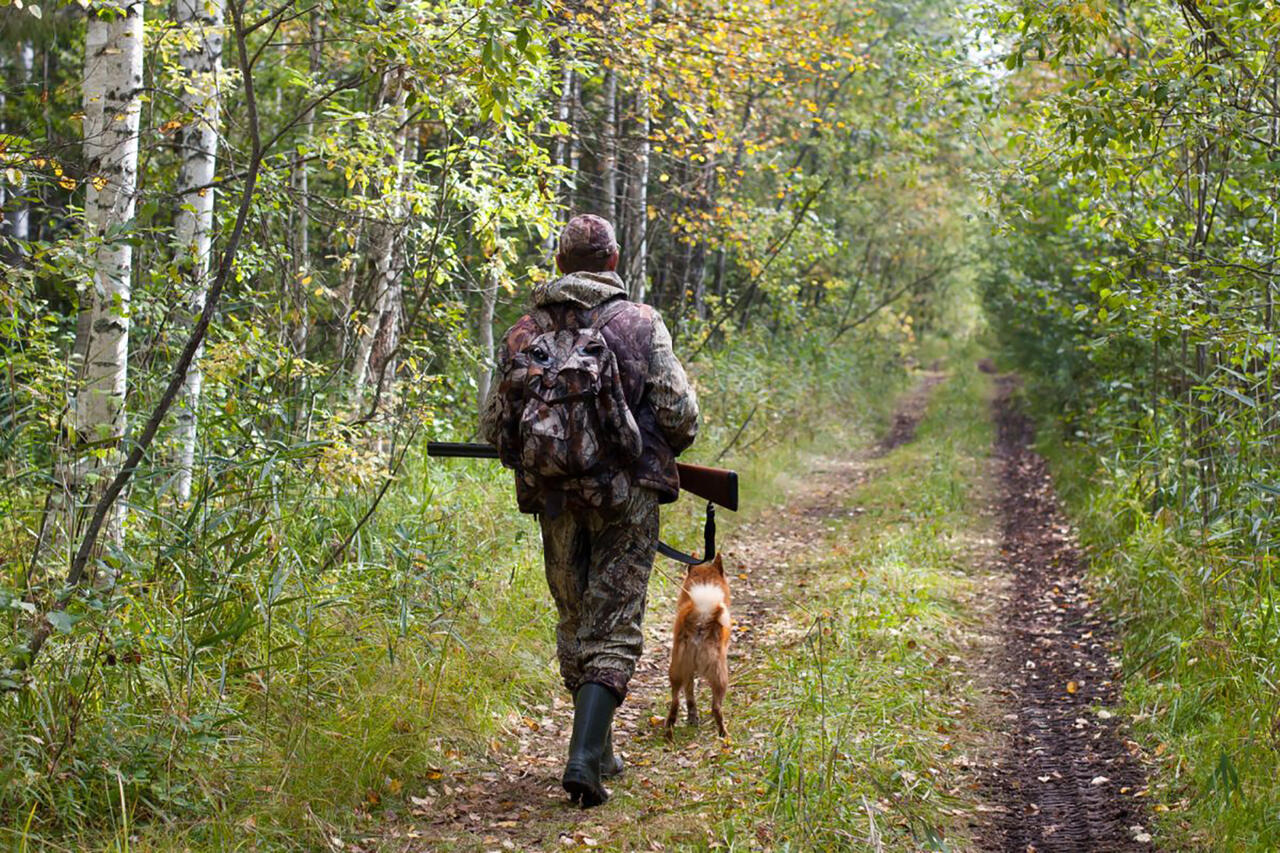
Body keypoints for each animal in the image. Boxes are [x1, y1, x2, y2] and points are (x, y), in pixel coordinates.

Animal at [660, 550, 732, 737]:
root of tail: (702, 620)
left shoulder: (688, 672)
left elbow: (690, 696)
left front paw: (693, 717)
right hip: (721, 676)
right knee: (716, 708)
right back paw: (724, 735)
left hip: (677, 671)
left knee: (676, 702)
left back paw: (669, 730)